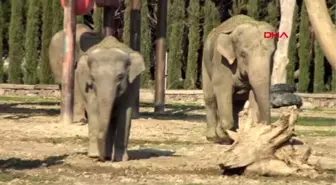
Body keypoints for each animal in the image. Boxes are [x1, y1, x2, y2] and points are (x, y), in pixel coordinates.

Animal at [202, 15, 276, 144]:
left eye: (272, 54)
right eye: (243, 54)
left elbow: (253, 93)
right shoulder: (221, 61)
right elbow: (222, 89)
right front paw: (223, 135)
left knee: (237, 101)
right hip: (206, 62)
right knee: (210, 98)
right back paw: (212, 137)